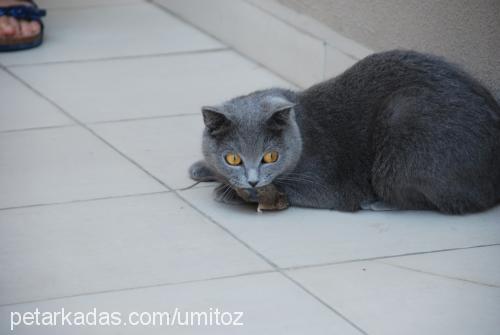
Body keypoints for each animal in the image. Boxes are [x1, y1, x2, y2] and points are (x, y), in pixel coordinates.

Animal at [188, 50, 500, 215]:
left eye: (270, 157)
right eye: (233, 159)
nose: (252, 181)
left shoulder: (326, 185)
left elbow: (289, 188)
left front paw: (228, 191)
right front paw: (203, 169)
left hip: (400, 132)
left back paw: (378, 202)